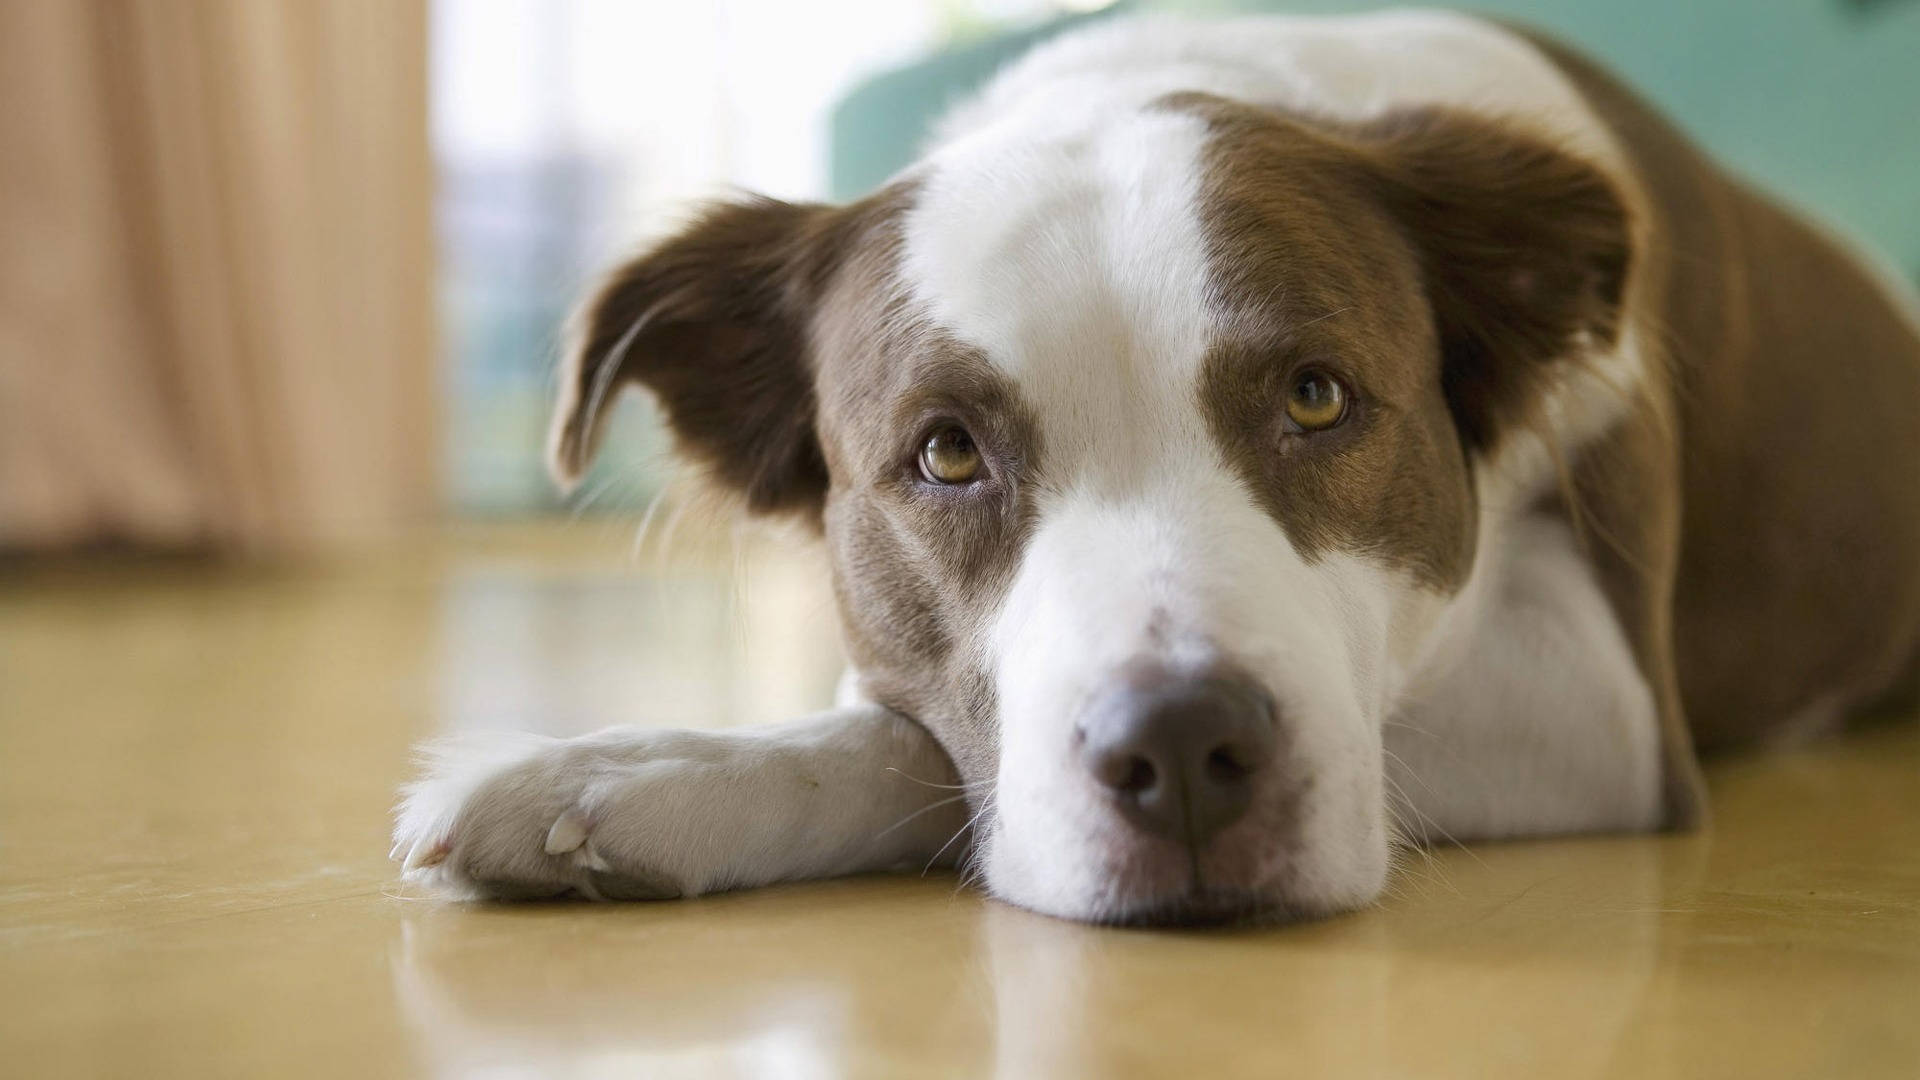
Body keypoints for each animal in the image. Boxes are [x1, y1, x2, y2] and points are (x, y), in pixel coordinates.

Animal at [389, 8, 1920, 922]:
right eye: (945, 453)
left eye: (1316, 398)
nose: (1185, 749)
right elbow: (923, 729)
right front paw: (634, 768)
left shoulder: (1611, 707)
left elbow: (921, 751)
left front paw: (635, 778)